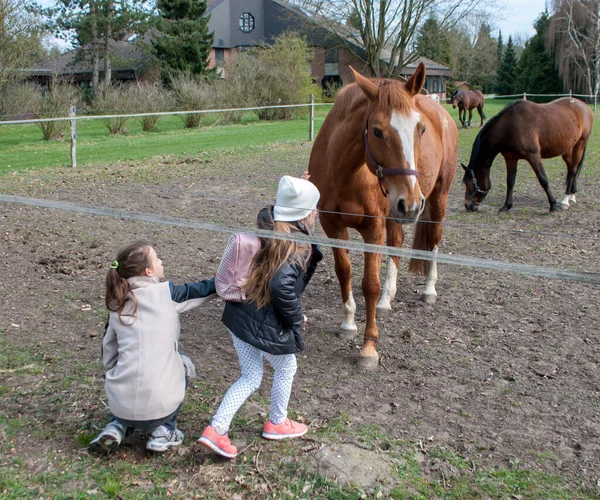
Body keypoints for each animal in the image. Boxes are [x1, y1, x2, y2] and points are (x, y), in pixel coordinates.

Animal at [308, 62, 458, 370]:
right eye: (377, 132)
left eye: (420, 128)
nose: (411, 202)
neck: (345, 172)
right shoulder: (333, 226)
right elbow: (344, 272)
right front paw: (348, 324)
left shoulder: (373, 229)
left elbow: (370, 284)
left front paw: (368, 347)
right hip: (396, 213)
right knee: (397, 245)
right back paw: (388, 299)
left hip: (436, 200)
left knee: (434, 240)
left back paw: (429, 290)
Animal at [462, 96, 592, 212]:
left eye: (468, 183)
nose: (467, 205)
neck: (510, 126)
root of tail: (583, 106)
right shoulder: (510, 158)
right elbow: (510, 182)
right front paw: (506, 206)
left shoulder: (533, 156)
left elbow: (543, 180)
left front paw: (553, 205)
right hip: (566, 148)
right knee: (571, 169)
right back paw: (572, 195)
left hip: (579, 145)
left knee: (573, 170)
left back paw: (565, 200)